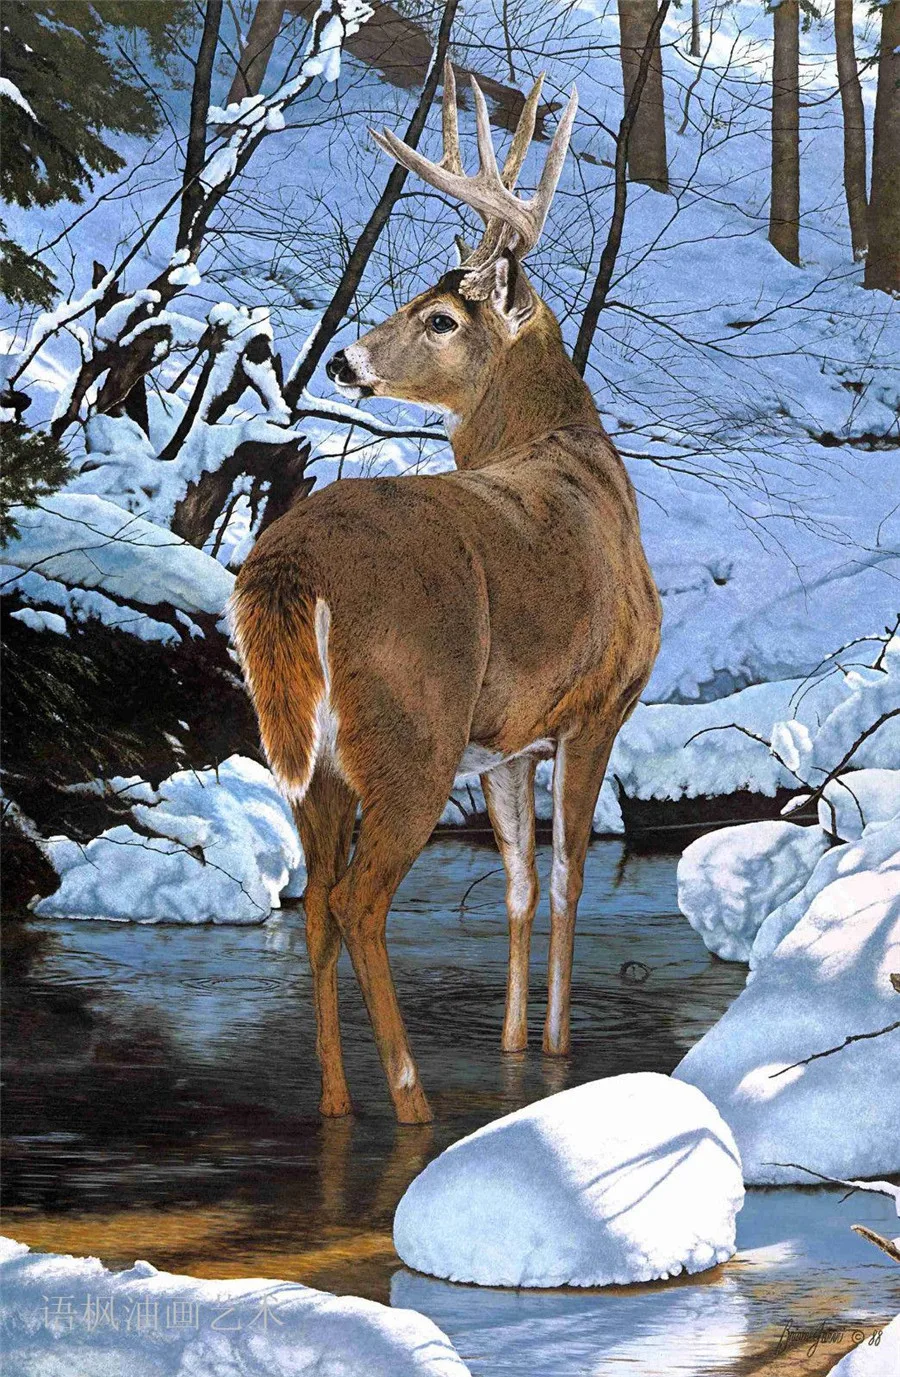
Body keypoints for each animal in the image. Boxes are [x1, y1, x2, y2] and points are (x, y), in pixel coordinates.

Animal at [232, 63, 661, 1125]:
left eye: (442, 316)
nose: (343, 359)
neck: (569, 452)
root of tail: (291, 564)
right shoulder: (600, 704)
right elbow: (570, 876)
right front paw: (556, 1048)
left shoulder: (509, 738)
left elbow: (519, 880)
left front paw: (515, 1047)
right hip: (410, 727)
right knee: (358, 900)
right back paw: (413, 1096)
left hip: (311, 752)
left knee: (317, 901)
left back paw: (338, 1100)